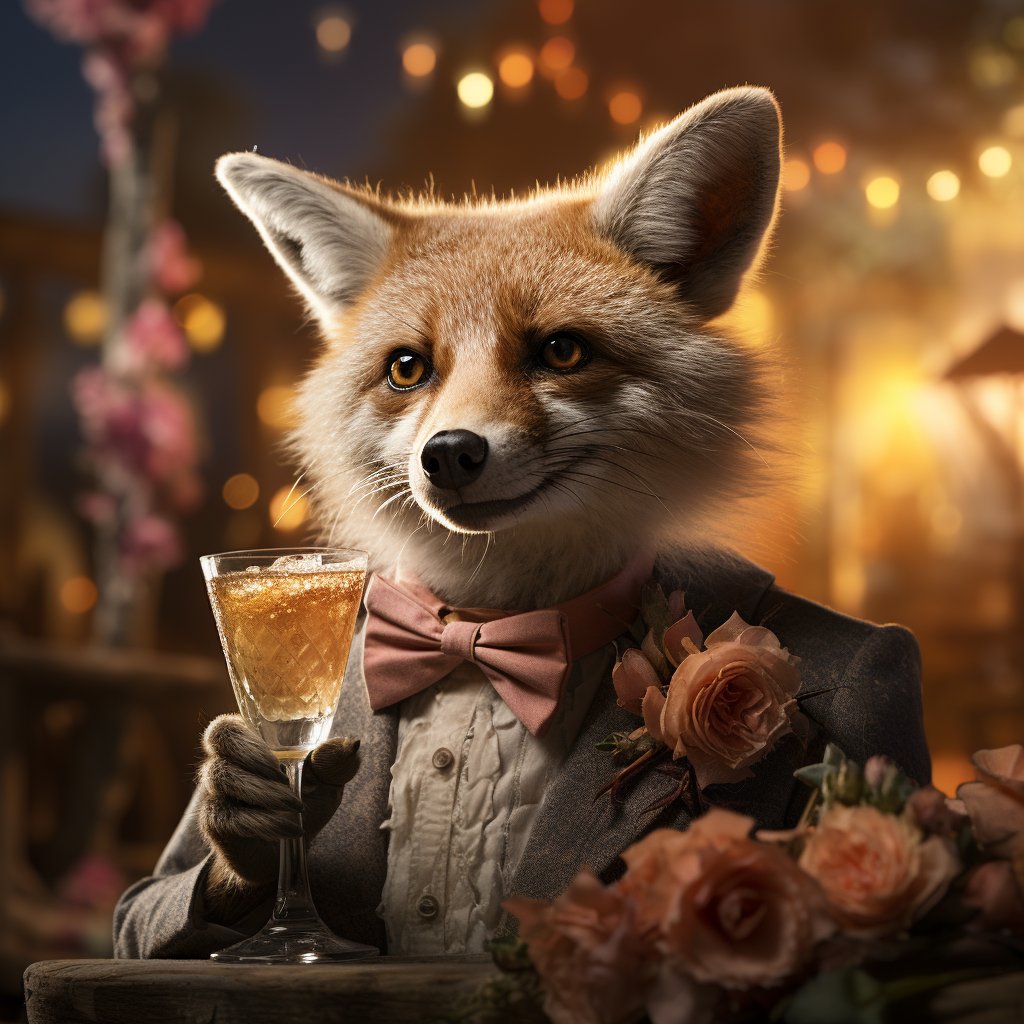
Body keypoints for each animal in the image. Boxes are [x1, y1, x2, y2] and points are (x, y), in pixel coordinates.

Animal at [113, 87, 931, 959]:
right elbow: (145, 902)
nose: (449, 454)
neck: (484, 627)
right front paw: (252, 823)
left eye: (562, 352)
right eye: (408, 368)